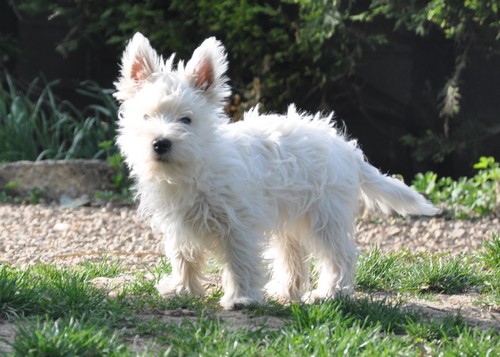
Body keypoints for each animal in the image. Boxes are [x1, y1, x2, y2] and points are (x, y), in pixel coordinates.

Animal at [114, 32, 438, 308]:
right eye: (146, 117)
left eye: (186, 120)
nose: (160, 143)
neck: (193, 169)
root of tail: (347, 148)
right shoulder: (178, 225)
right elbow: (184, 256)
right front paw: (181, 289)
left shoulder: (238, 224)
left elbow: (240, 260)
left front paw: (241, 297)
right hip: (291, 219)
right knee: (294, 256)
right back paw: (286, 291)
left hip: (325, 217)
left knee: (340, 255)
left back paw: (330, 293)